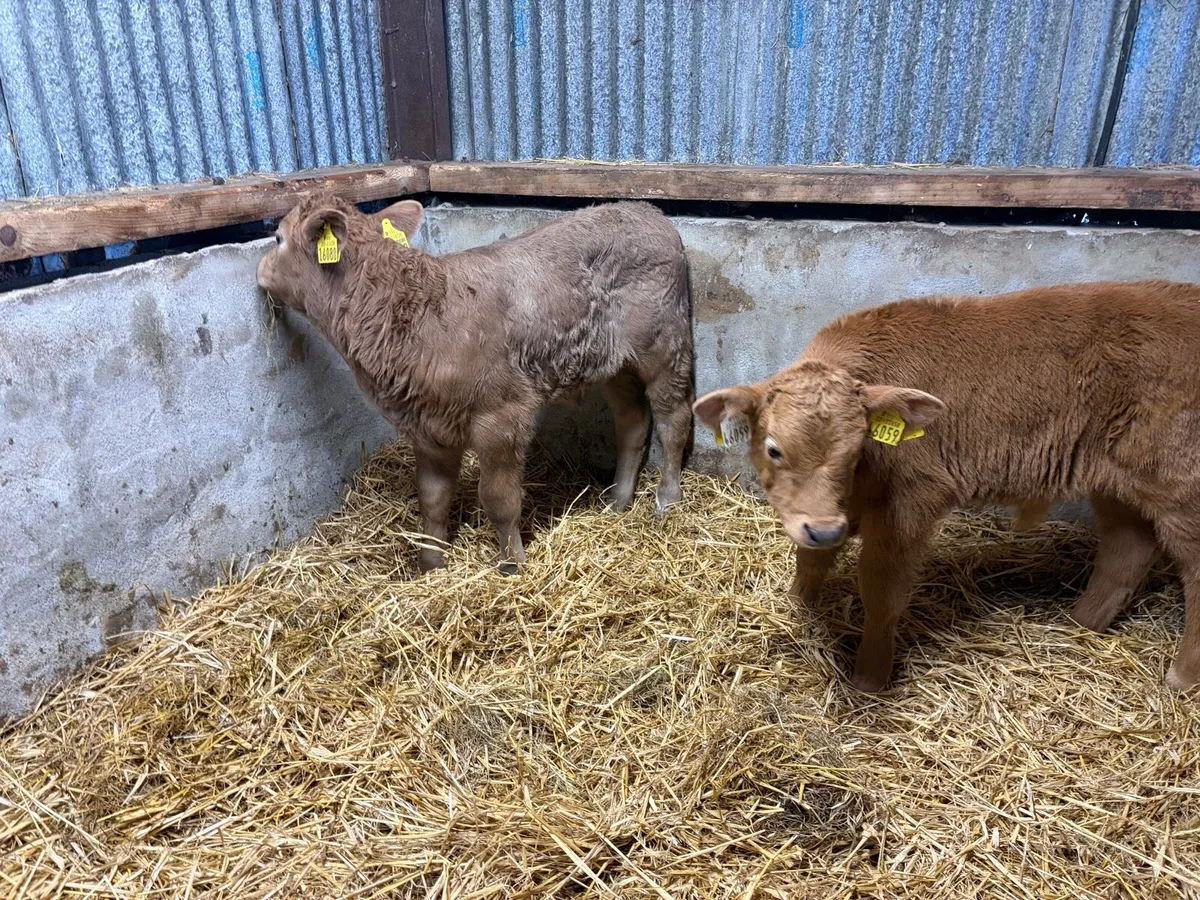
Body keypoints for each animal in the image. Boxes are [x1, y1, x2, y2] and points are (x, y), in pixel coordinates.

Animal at [258, 193, 693, 574]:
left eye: (277, 238)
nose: (258, 268)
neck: (414, 312)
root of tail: (647, 210)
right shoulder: (427, 426)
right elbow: (432, 498)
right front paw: (430, 566)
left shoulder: (502, 416)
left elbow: (499, 499)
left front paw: (512, 565)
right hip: (616, 363)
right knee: (632, 422)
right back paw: (618, 500)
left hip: (665, 345)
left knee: (673, 419)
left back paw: (667, 500)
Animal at [695, 280, 1200, 693]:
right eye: (774, 449)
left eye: (857, 449)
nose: (825, 529)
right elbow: (811, 560)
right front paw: (798, 606)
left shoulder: (911, 502)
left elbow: (881, 588)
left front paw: (869, 677)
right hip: (1117, 482)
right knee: (1127, 548)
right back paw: (1080, 624)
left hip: (1182, 487)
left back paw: (1180, 677)